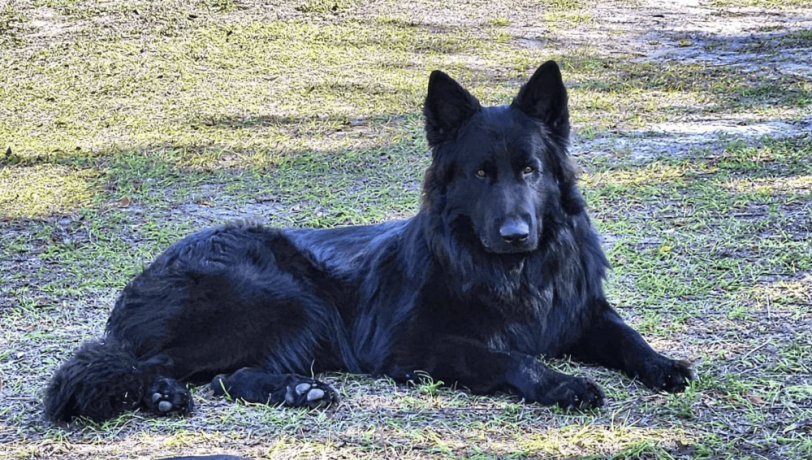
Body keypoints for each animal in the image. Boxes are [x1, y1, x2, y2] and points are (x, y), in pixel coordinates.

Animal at [44, 63, 692, 422]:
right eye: (481, 173)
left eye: (530, 170)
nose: (515, 235)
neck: (510, 274)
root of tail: (146, 274)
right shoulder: (416, 345)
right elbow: (512, 356)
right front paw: (560, 383)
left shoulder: (580, 312)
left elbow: (629, 337)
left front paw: (663, 365)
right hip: (283, 297)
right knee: (144, 363)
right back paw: (161, 395)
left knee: (231, 377)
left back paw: (297, 390)